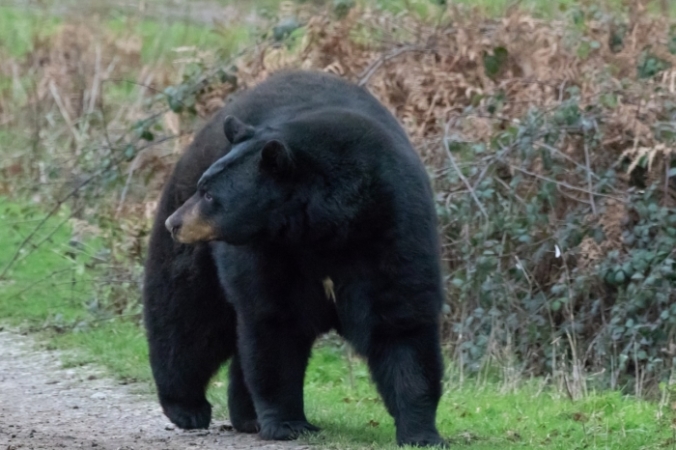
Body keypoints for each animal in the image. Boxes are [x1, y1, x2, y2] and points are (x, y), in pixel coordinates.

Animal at [143, 70, 447, 447]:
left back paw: (246, 415)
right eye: (203, 186)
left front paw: (422, 432)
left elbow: (401, 322)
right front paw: (288, 423)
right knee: (185, 310)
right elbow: (275, 322)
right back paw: (187, 406)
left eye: (210, 194)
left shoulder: (393, 229)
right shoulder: (270, 251)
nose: (175, 223)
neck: (326, 229)